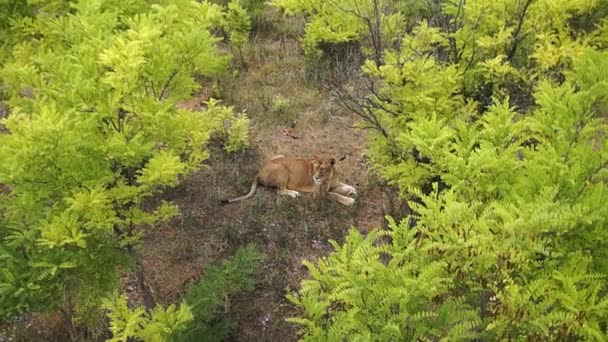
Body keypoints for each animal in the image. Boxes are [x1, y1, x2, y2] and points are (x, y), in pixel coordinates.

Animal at [222, 155, 356, 206]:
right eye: (315, 168)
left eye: (322, 169)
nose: (315, 178)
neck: (328, 176)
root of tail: (258, 173)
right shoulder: (319, 194)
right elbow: (334, 195)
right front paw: (349, 200)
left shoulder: (333, 184)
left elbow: (341, 186)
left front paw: (351, 190)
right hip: (282, 169)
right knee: (280, 190)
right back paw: (294, 193)